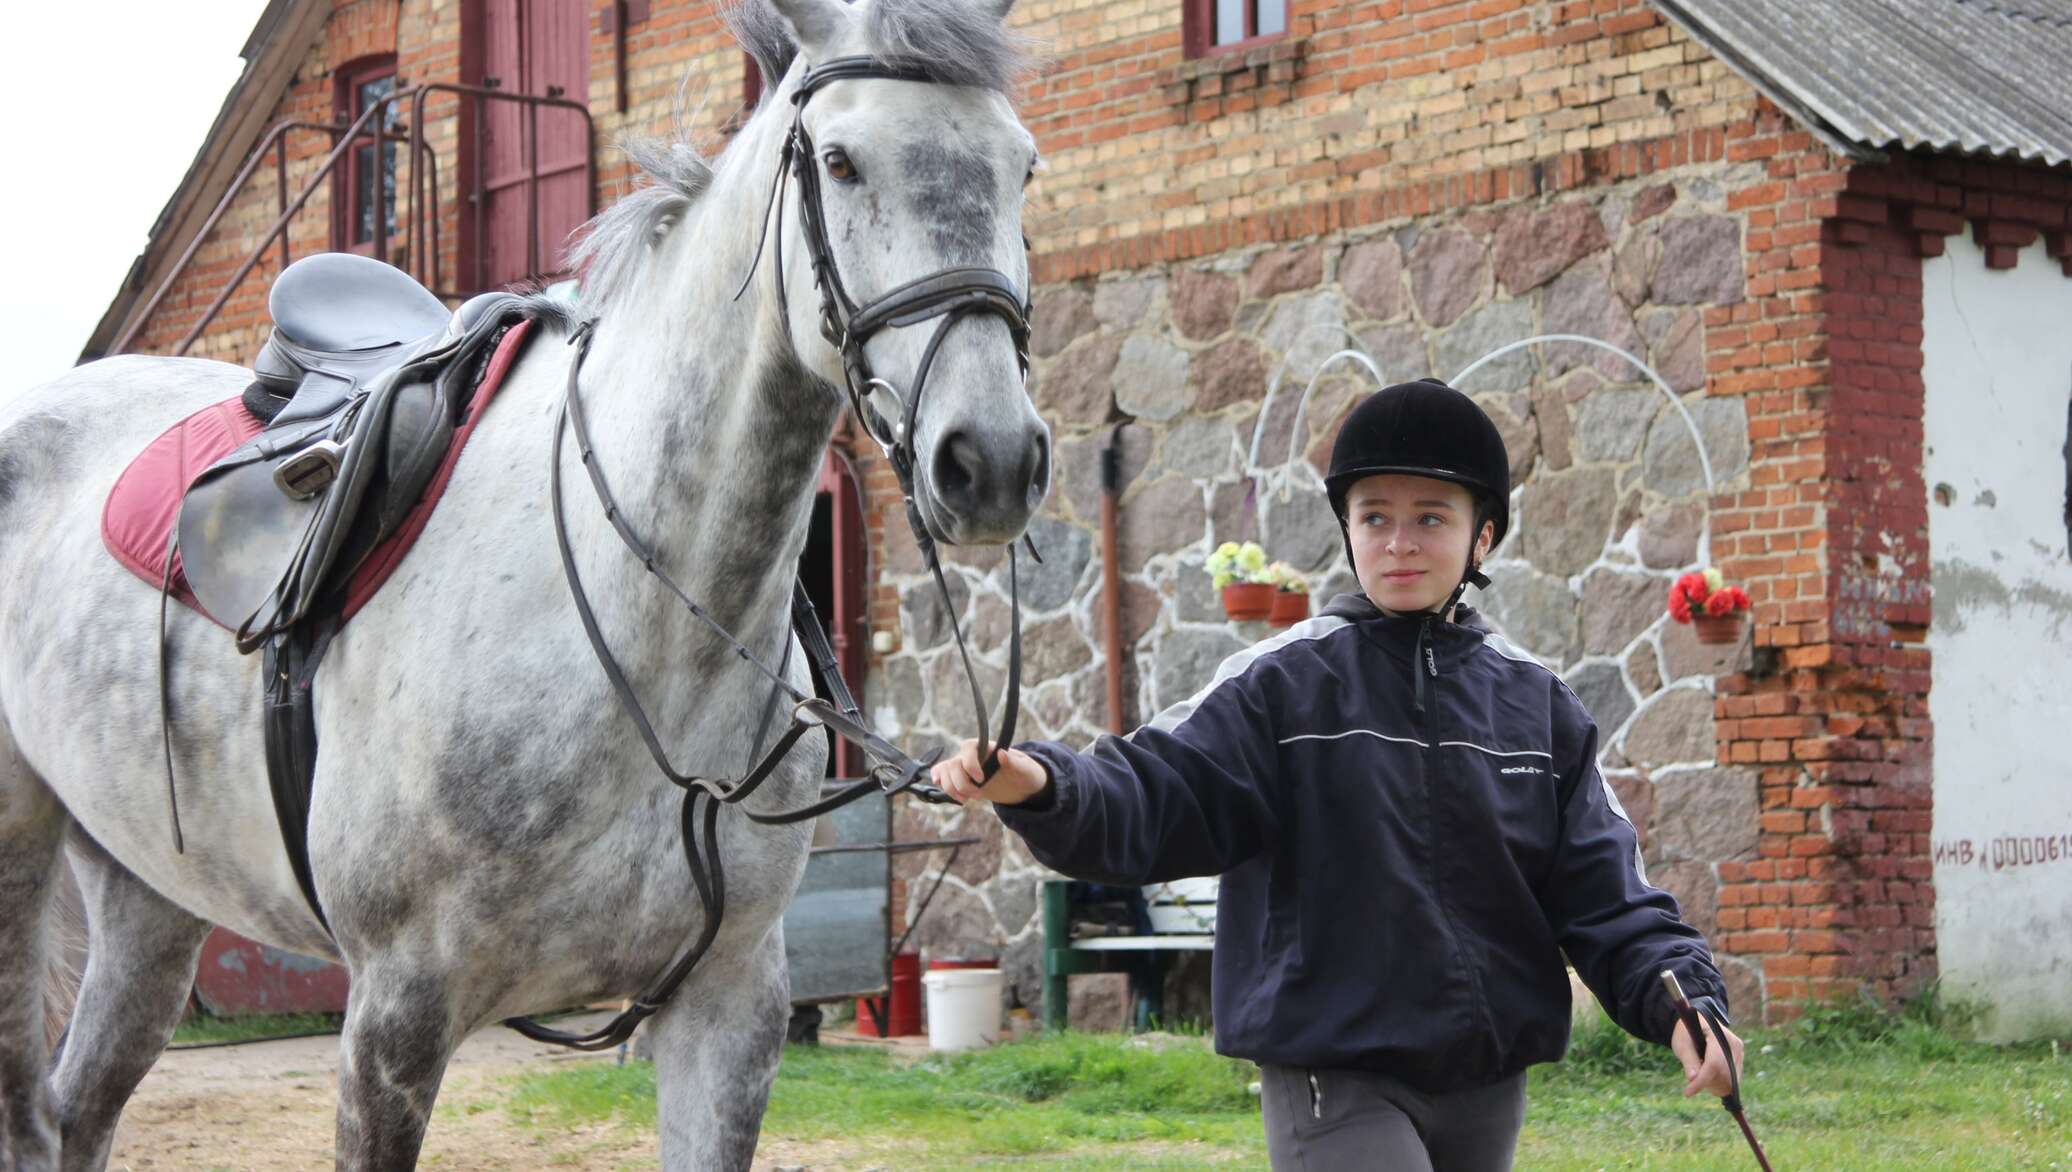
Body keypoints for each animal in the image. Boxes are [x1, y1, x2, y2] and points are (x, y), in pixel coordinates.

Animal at [0, 4, 1044, 1167]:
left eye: (1021, 167)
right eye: (839, 160)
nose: (992, 459)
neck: (641, 638)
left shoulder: (729, 1006)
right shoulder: (395, 1016)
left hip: (145, 894)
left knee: (78, 1108)